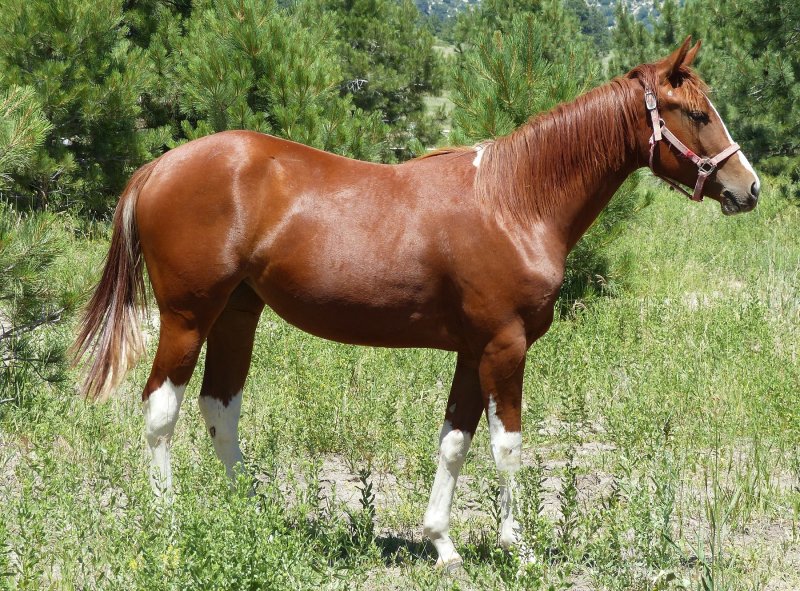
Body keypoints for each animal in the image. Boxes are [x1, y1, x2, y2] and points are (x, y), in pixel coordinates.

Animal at [73, 37, 760, 569]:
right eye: (696, 113)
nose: (747, 187)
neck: (513, 202)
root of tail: (158, 168)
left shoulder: (472, 350)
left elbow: (454, 440)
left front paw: (443, 546)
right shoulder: (504, 346)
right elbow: (506, 445)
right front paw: (517, 548)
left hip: (238, 314)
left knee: (221, 409)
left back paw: (253, 518)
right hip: (187, 317)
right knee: (161, 410)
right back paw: (170, 523)